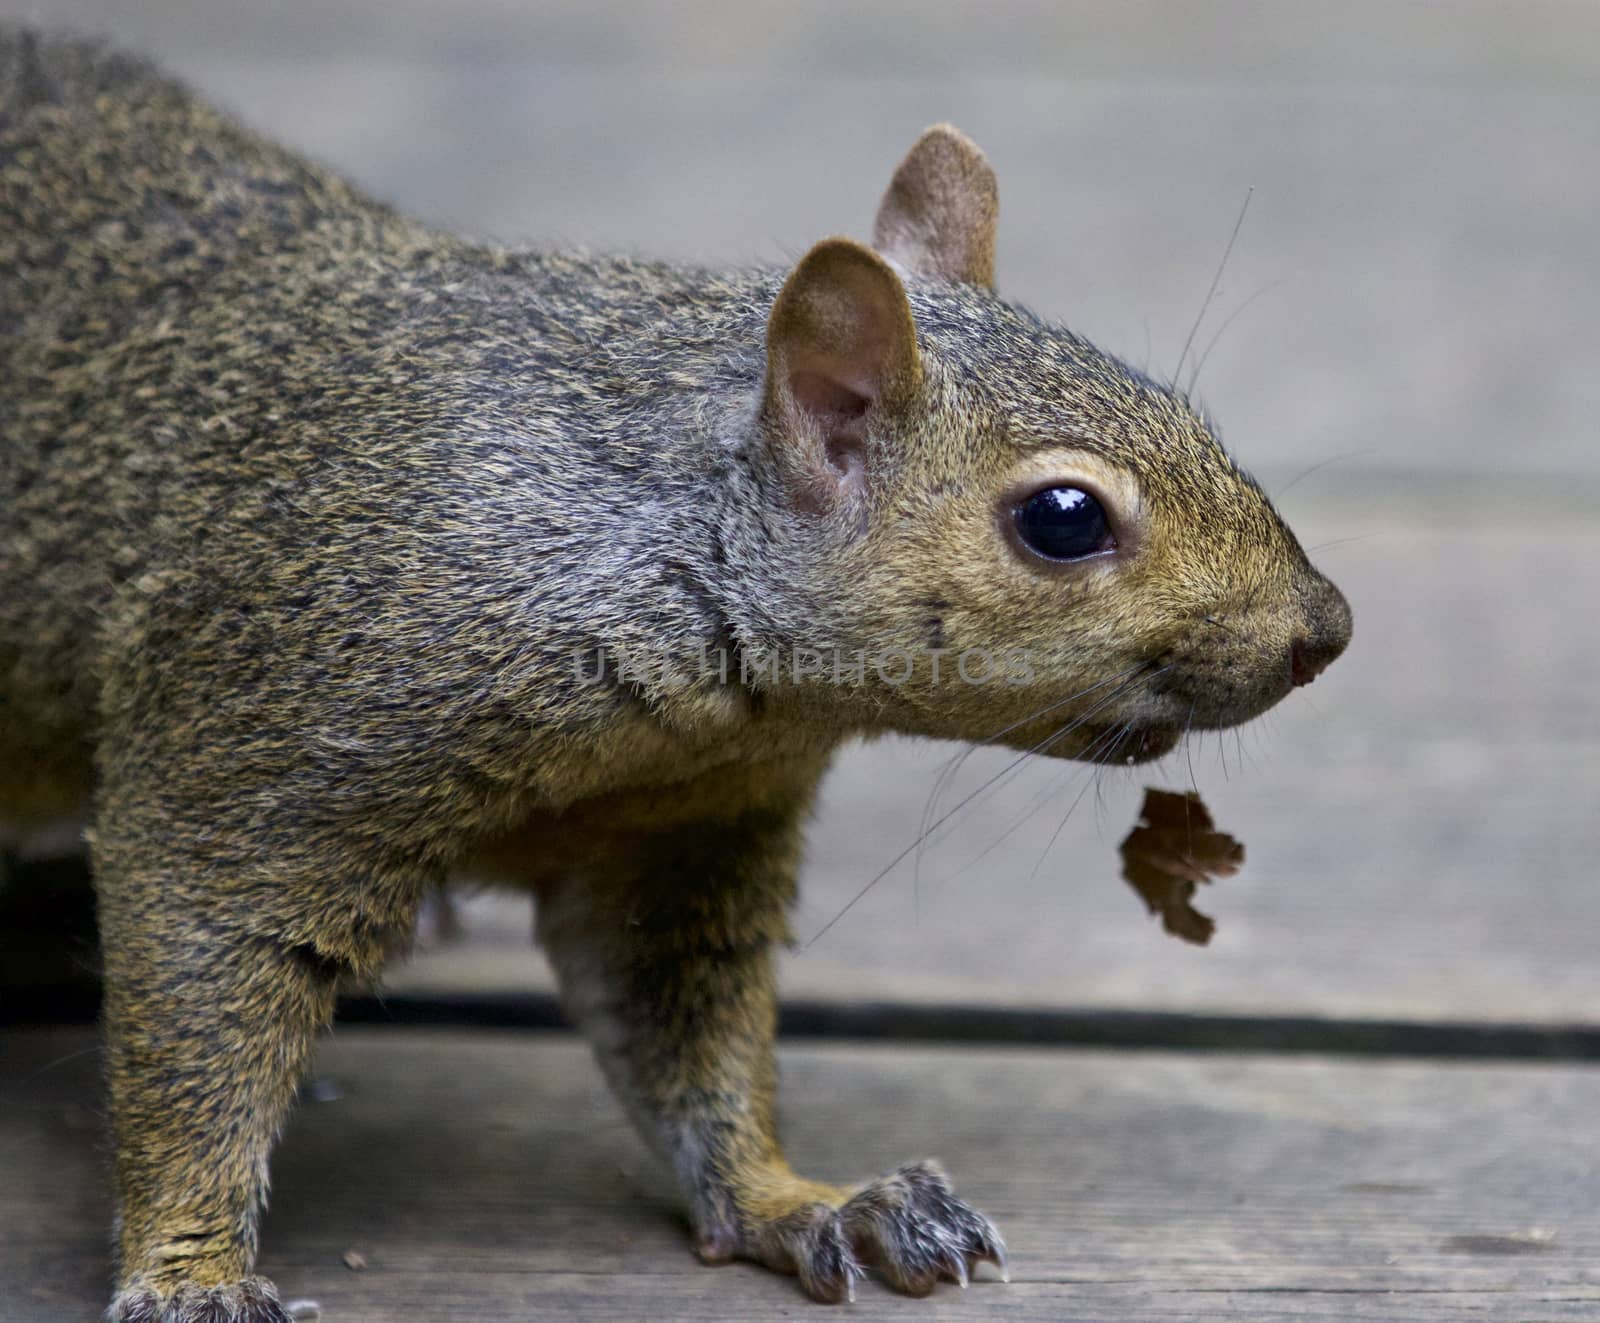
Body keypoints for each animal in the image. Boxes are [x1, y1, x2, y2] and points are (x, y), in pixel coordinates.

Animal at [0, 23, 1350, 1323]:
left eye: (1186, 412)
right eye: (1062, 519)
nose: (1325, 630)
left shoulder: (677, 826)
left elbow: (682, 1033)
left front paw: (806, 1201)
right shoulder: (257, 747)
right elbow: (199, 1025)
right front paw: (190, 1277)